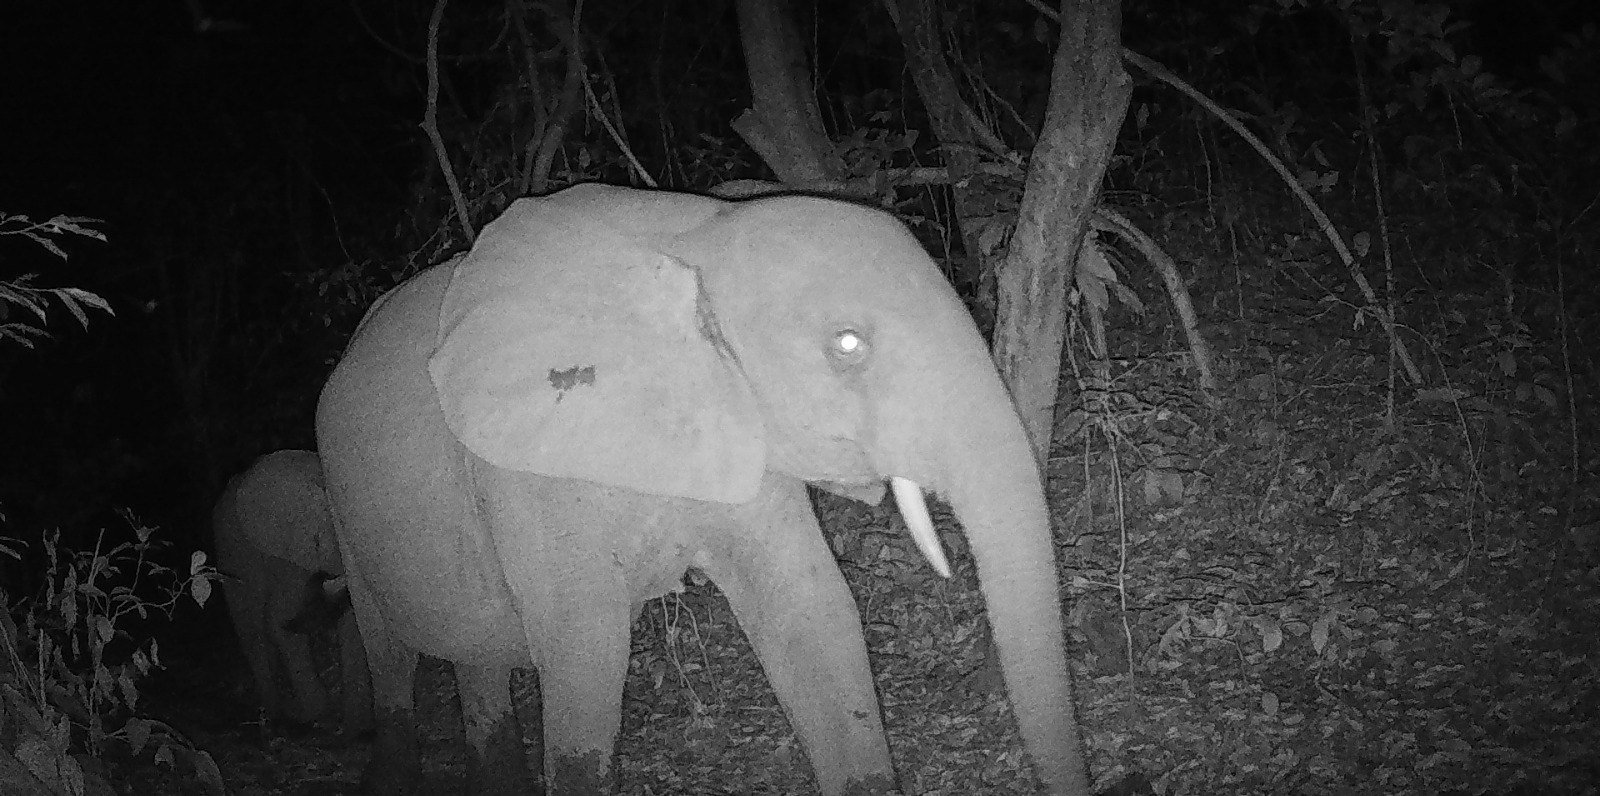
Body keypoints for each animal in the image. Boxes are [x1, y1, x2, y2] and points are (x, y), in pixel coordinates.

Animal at [212, 450, 371, 735]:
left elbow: (353, 625)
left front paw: (358, 728)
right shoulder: (290, 557)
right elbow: (278, 618)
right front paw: (319, 715)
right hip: (230, 551)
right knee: (252, 625)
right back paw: (273, 715)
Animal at [316, 183, 1090, 795]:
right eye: (847, 346)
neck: (699, 235)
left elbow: (813, 613)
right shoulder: (525, 470)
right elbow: (584, 656)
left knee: (479, 658)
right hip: (340, 497)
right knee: (389, 651)